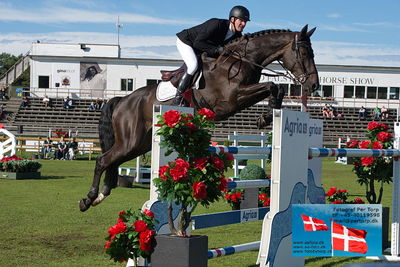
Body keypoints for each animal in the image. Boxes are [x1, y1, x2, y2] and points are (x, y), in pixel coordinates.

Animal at [79, 24, 320, 213]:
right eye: (305, 53)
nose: (314, 85)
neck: (243, 59)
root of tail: (122, 100)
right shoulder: (231, 99)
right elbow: (272, 85)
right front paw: (266, 115)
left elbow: (275, 89)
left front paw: (268, 115)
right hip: (131, 141)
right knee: (103, 161)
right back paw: (88, 199)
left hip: (139, 144)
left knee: (112, 161)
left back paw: (101, 195)